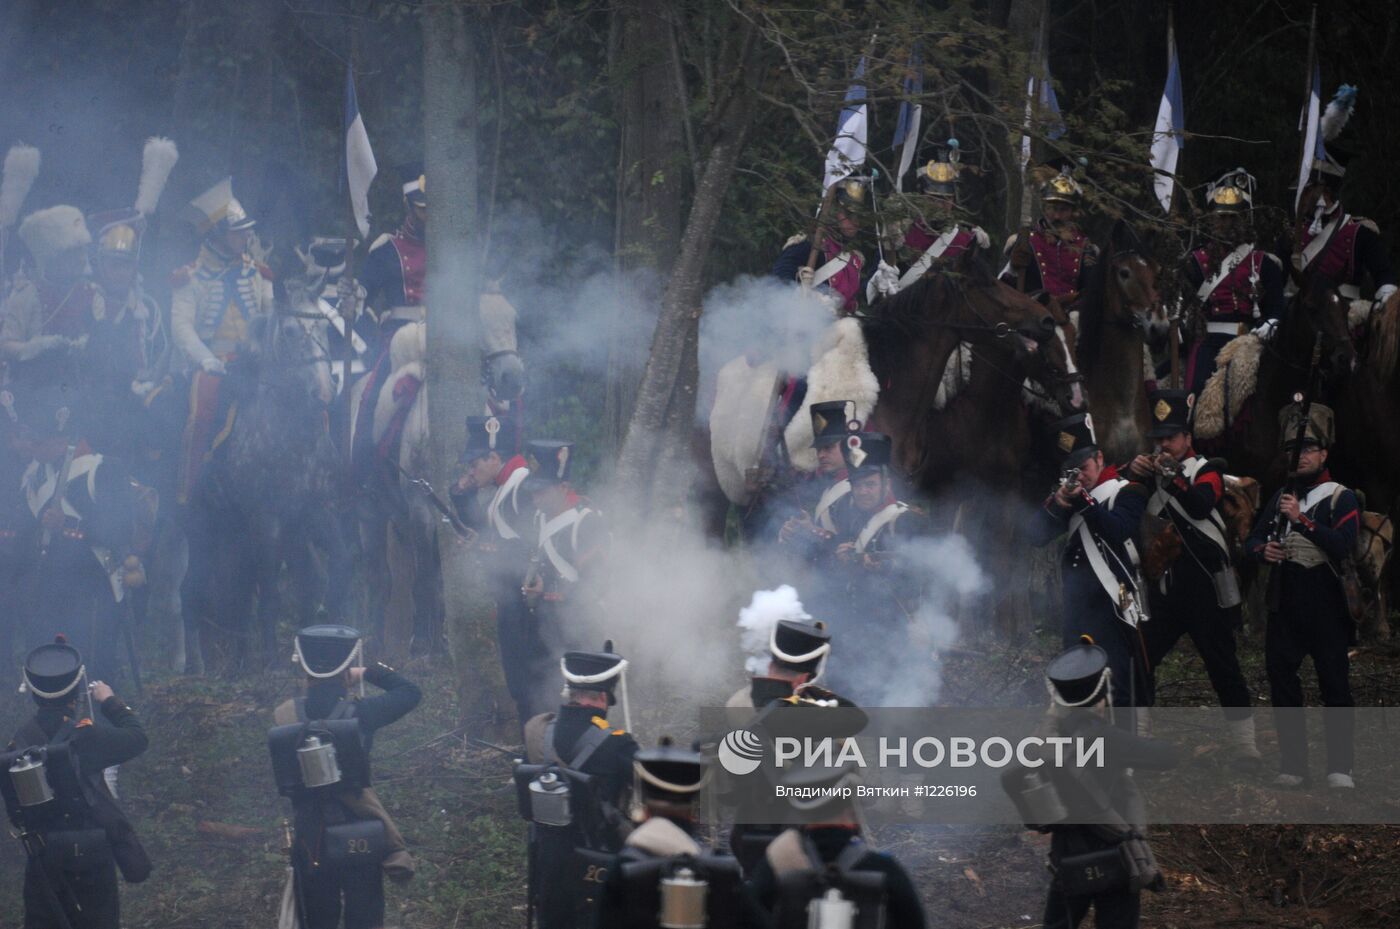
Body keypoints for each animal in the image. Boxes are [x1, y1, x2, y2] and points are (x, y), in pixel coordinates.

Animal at [182, 306, 337, 674]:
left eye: (325, 327)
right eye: (291, 332)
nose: (324, 391)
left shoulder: (311, 515)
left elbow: (313, 580)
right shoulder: (267, 521)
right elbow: (270, 590)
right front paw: (271, 660)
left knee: (239, 594)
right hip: (203, 535)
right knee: (194, 591)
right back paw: (201, 664)